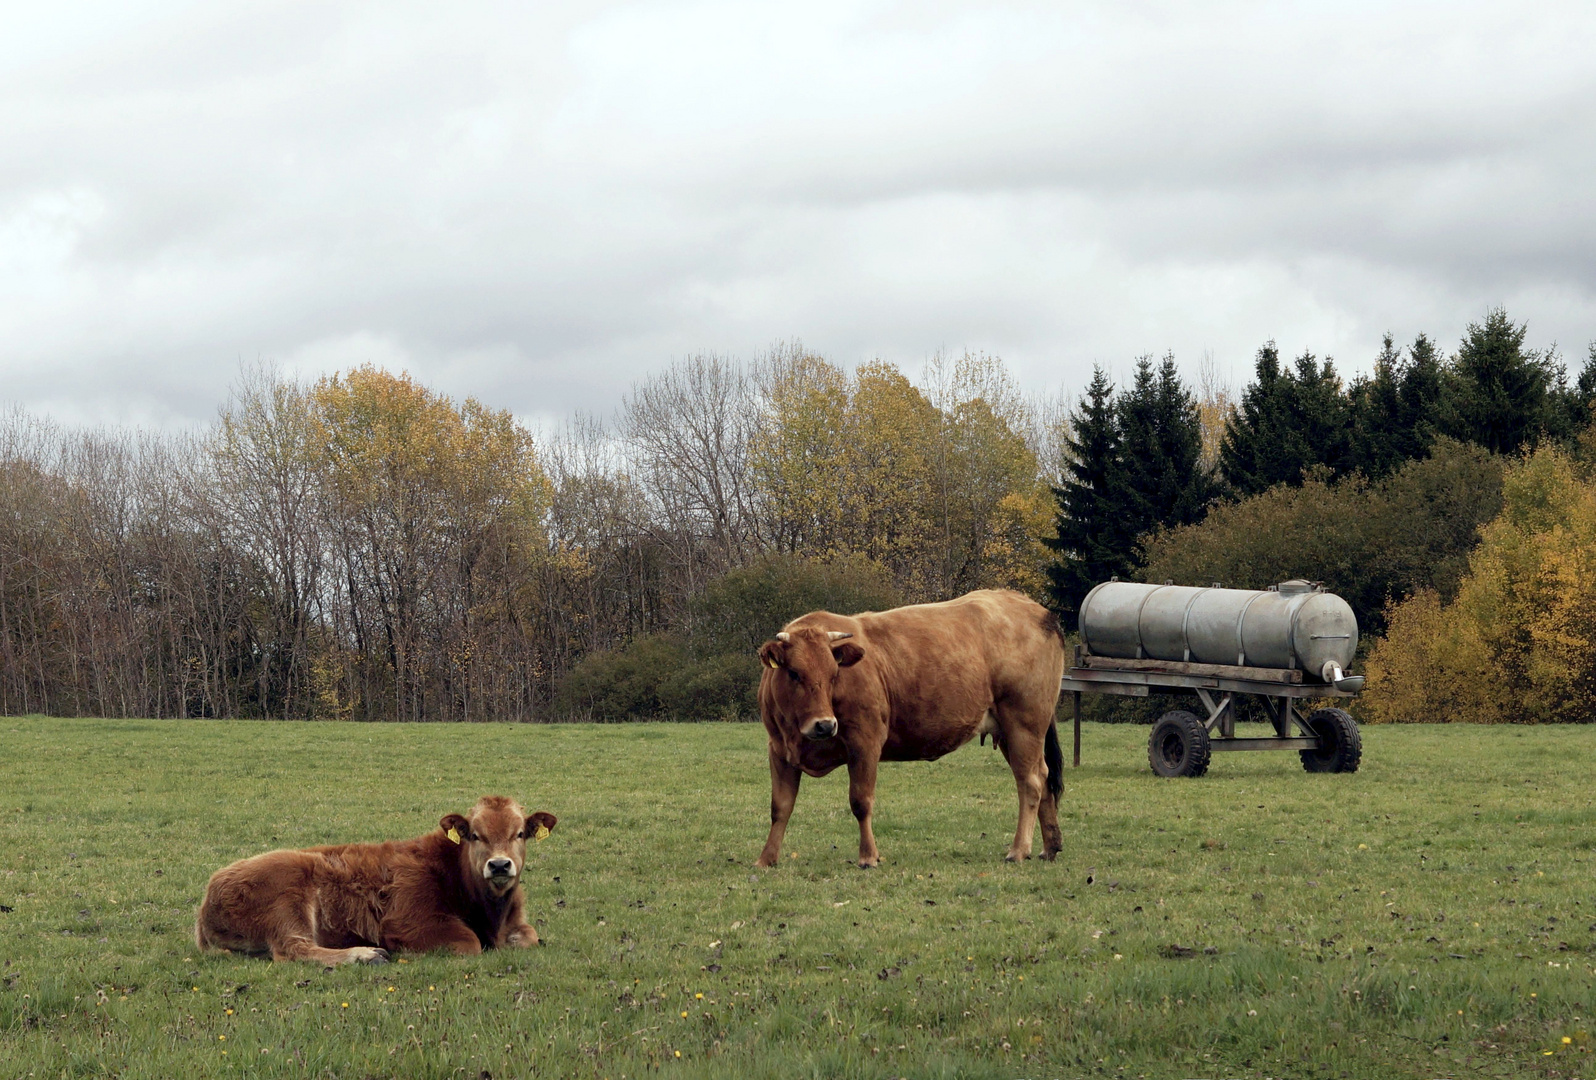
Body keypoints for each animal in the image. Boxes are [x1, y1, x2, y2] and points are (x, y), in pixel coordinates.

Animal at [196, 797, 558, 963]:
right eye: (475, 835)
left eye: (519, 833)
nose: (499, 865)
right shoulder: (408, 922)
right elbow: (468, 942)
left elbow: (530, 936)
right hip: (289, 901)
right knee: (294, 949)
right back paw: (367, 955)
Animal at [753, 587, 1066, 861]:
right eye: (794, 673)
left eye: (833, 674)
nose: (825, 725)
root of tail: (1040, 612)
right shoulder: (778, 749)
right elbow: (780, 807)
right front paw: (767, 859)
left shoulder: (865, 742)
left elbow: (861, 801)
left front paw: (868, 856)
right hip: (1011, 731)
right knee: (1042, 776)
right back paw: (1050, 846)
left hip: (1025, 723)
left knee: (1030, 782)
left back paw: (1019, 850)